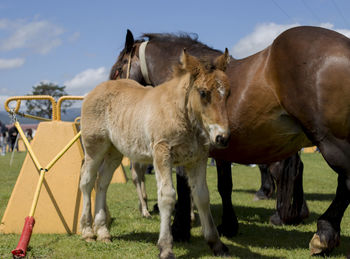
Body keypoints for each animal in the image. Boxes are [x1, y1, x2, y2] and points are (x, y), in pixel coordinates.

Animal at [80, 49, 231, 258]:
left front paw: (216, 244)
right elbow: (167, 197)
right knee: (86, 182)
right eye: (203, 93)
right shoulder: (162, 153)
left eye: (229, 93)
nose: (222, 137)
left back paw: (103, 232)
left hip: (114, 152)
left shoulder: (198, 158)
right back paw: (87, 232)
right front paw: (165, 247)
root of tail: (93, 91)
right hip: (94, 147)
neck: (182, 113)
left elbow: (202, 196)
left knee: (102, 182)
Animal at [110, 26, 350, 256]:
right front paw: (228, 226)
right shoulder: (220, 149)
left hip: (330, 141)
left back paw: (322, 234)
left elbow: (186, 188)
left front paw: (179, 230)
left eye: (117, 69)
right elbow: (224, 186)